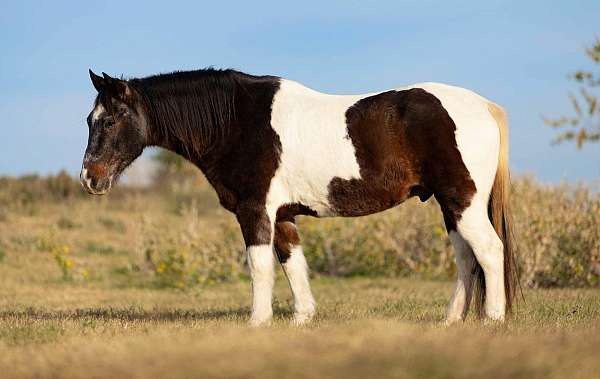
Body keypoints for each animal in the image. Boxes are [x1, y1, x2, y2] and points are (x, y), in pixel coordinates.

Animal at [82, 68, 516, 326]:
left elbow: (260, 266)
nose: (89, 178)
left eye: (109, 120)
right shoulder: (284, 215)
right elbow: (292, 263)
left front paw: (257, 323)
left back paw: (492, 319)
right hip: (451, 205)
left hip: (462, 201)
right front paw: (301, 319)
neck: (236, 121)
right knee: (466, 258)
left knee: (489, 251)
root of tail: (483, 106)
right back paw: (451, 320)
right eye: (90, 120)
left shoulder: (255, 210)